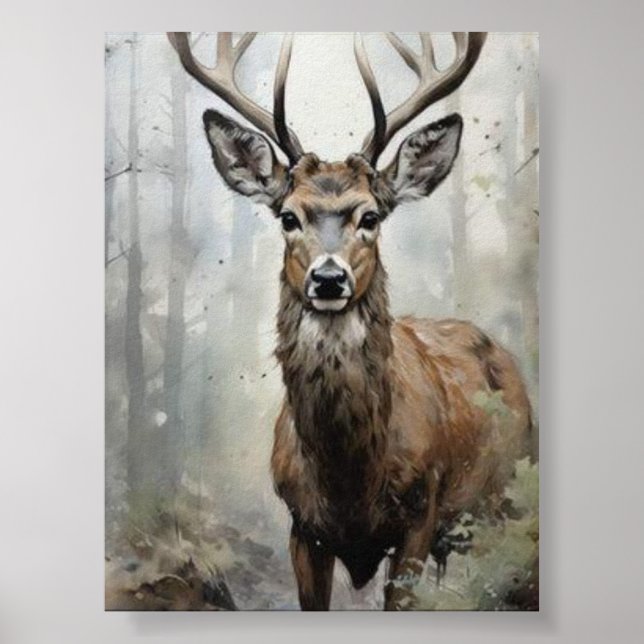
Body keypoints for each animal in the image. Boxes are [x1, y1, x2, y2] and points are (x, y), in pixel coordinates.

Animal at [168, 32, 533, 611]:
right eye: (288, 216)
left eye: (371, 216)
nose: (328, 279)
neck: (350, 484)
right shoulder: (301, 526)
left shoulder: (420, 513)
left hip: (507, 496)